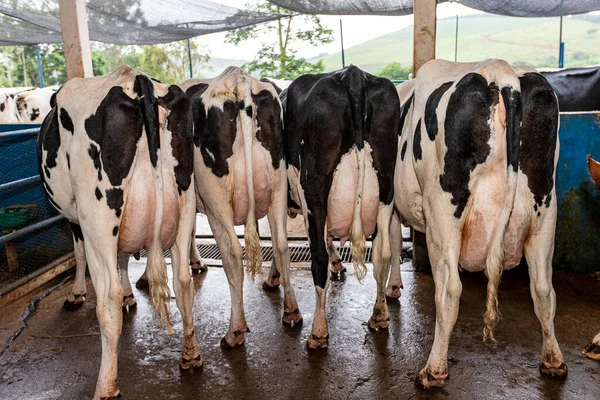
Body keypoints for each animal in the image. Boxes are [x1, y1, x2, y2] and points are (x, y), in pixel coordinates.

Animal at [37, 66, 202, 400]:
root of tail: (136, 79)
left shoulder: (77, 220)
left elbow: (80, 255)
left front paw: (76, 293)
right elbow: (125, 257)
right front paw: (130, 293)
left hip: (97, 216)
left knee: (107, 300)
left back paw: (106, 386)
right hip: (185, 203)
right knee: (183, 281)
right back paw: (190, 355)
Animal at [183, 67, 302, 348]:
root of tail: (238, 80)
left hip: (215, 202)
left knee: (233, 254)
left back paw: (234, 330)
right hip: (278, 188)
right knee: (281, 244)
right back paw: (291, 311)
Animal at [284, 65, 398, 346]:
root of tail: (353, 74)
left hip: (313, 188)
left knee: (318, 259)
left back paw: (318, 333)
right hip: (387, 186)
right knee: (382, 254)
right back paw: (379, 317)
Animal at [394, 59, 568, 388]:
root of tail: (500, 70)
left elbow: (387, 249)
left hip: (443, 215)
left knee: (449, 291)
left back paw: (433, 370)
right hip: (545, 212)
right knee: (543, 289)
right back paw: (553, 360)